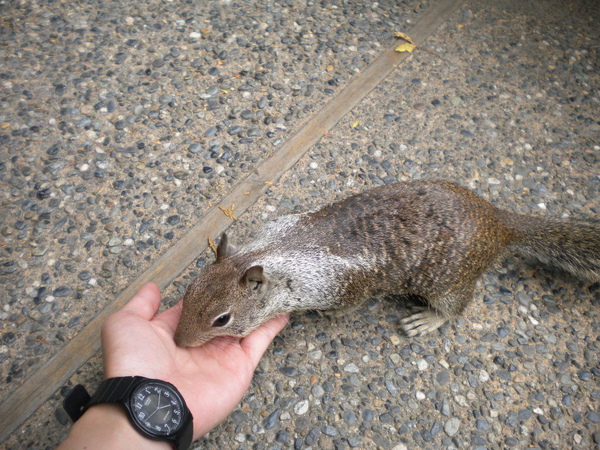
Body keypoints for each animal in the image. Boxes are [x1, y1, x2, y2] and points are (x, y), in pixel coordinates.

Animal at [173, 179, 600, 348]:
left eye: (222, 319)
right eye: (189, 291)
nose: (178, 342)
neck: (273, 253)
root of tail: (498, 220)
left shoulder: (343, 286)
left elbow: (349, 305)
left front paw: (328, 316)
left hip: (449, 282)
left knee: (456, 307)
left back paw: (427, 319)